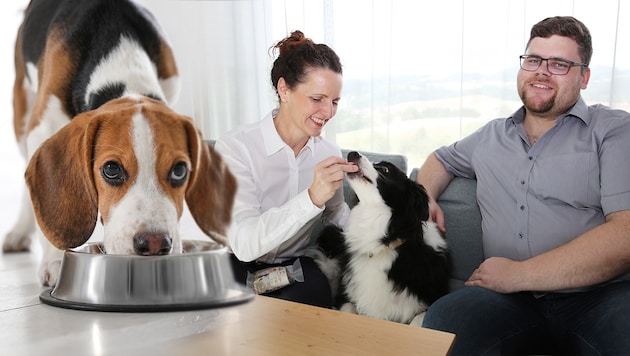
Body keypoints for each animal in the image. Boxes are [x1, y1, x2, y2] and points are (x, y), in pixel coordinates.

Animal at [2, 0, 237, 286]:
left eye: (180, 171)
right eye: (111, 170)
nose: (155, 244)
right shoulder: (42, 125)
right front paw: (55, 260)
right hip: (21, 110)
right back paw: (19, 232)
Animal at [318, 152, 452, 324]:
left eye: (385, 169)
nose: (352, 153)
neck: (383, 243)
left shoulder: (432, 297)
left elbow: (418, 320)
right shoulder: (345, 296)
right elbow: (348, 310)